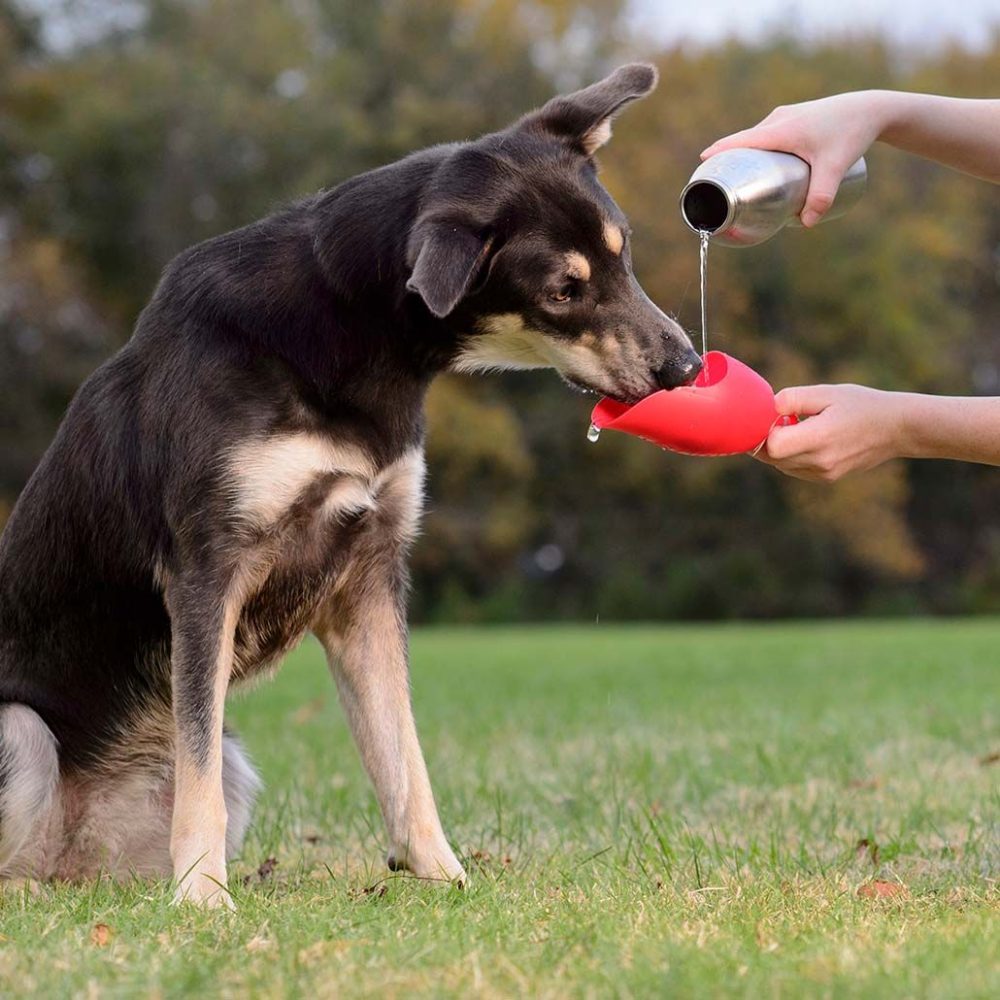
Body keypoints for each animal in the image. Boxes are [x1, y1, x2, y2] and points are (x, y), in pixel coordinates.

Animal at [0, 62, 700, 908]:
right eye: (563, 290)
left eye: (623, 256)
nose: (686, 367)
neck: (352, 335)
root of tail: (73, 864)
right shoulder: (207, 572)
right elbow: (199, 770)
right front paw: (204, 898)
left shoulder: (369, 574)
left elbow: (401, 755)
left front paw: (443, 874)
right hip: (20, 729)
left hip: (225, 770)